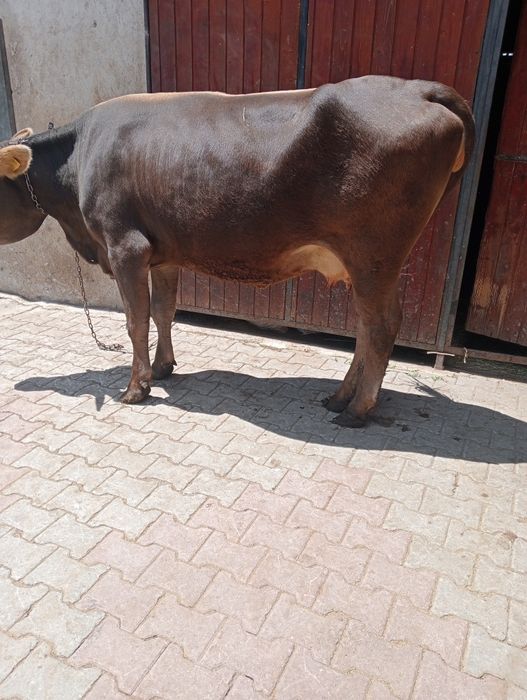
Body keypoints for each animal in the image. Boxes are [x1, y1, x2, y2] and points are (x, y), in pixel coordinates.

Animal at [0, 76, 474, 427]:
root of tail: (417, 88)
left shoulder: (125, 246)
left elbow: (136, 321)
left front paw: (136, 387)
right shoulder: (163, 251)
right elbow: (164, 311)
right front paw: (164, 367)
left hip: (374, 254)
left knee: (381, 325)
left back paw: (357, 409)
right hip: (368, 263)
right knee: (365, 324)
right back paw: (340, 396)